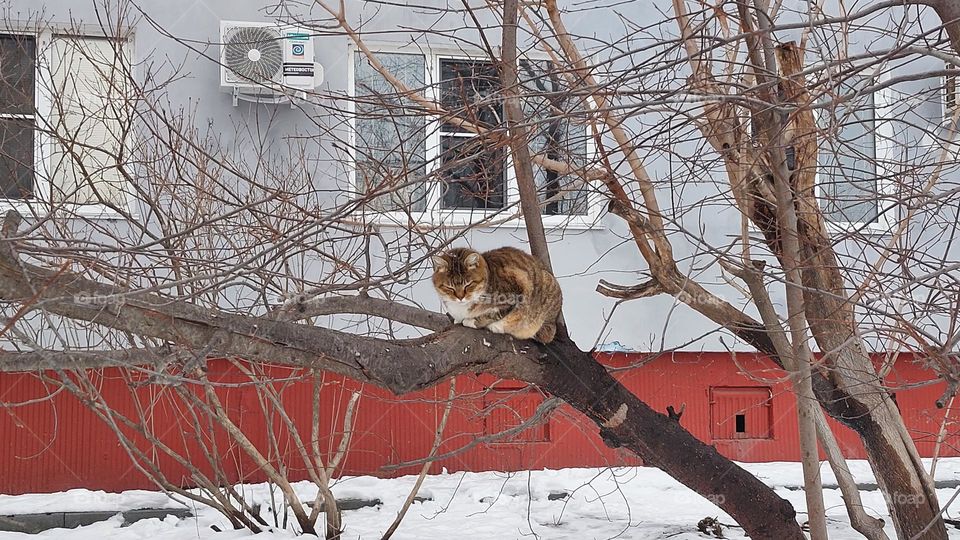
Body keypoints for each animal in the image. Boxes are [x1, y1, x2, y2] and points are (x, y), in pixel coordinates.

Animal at [430, 248, 564, 344]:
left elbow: (493, 314)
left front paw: (473, 321)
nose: (460, 297)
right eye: (449, 287)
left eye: (468, 285)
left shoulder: (513, 294)